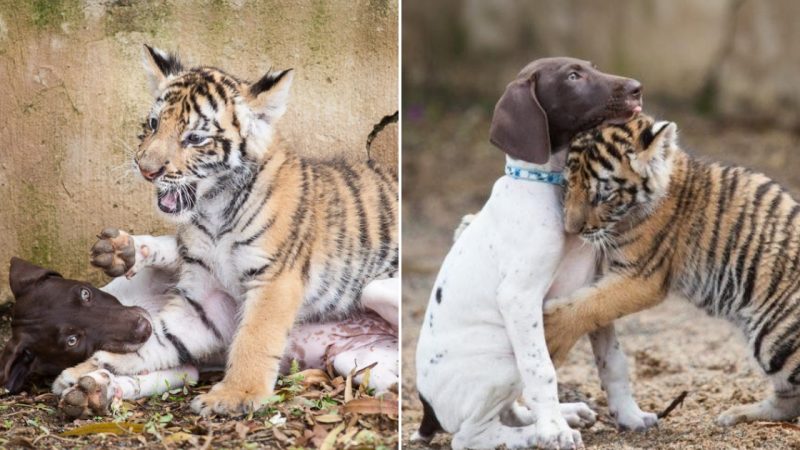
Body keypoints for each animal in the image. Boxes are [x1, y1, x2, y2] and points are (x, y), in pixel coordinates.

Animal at [412, 57, 656, 450]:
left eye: (591, 67)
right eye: (573, 76)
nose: (637, 88)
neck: (551, 187)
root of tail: (427, 409)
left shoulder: (595, 291)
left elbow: (613, 362)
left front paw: (630, 416)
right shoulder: (519, 298)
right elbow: (541, 371)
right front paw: (554, 430)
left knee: (508, 411)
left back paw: (562, 414)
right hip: (502, 360)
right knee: (470, 436)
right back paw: (537, 432)